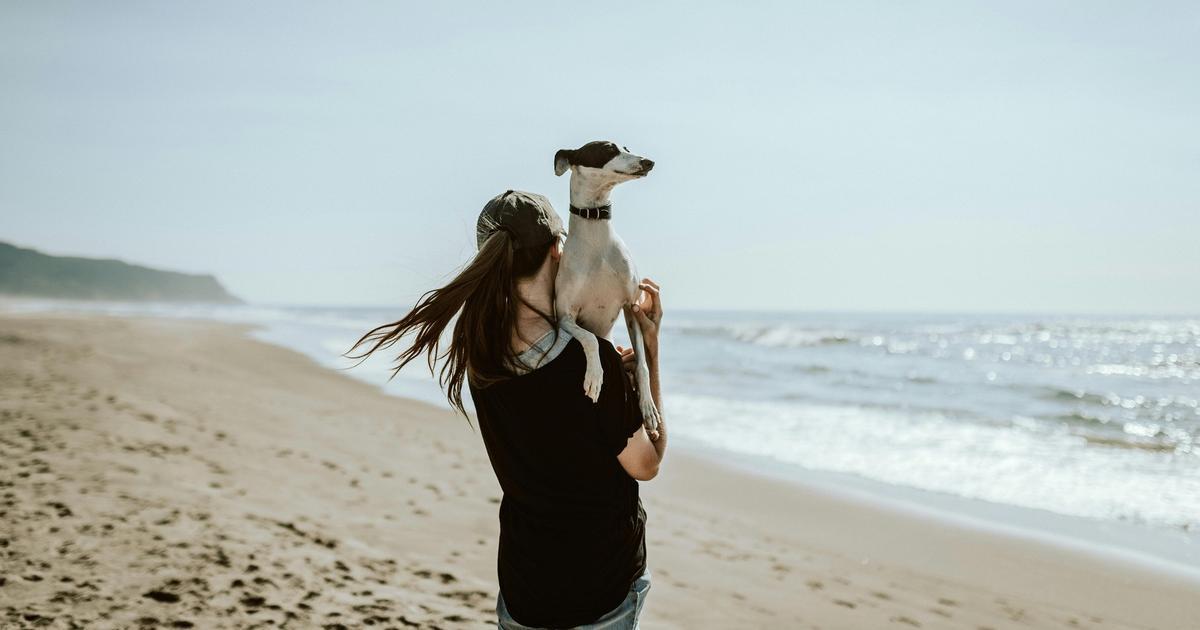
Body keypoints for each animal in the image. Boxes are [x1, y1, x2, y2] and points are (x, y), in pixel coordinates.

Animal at [549, 139, 662, 429]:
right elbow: (590, 339)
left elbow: (643, 365)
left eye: (627, 148)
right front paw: (595, 377)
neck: (597, 241)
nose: (648, 162)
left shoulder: (631, 307)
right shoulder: (564, 317)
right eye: (608, 149)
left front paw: (648, 407)